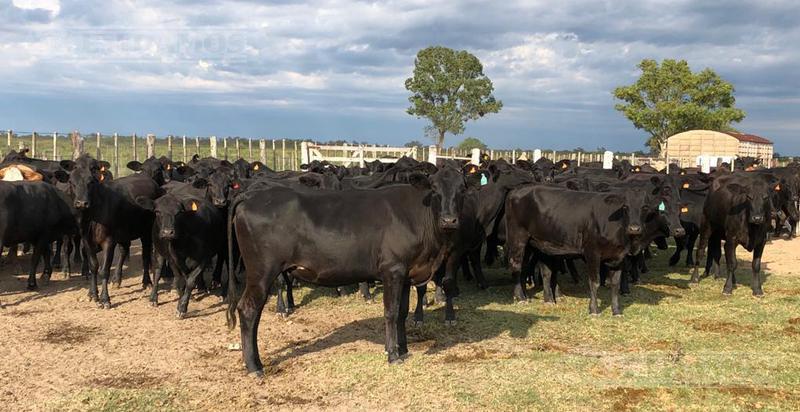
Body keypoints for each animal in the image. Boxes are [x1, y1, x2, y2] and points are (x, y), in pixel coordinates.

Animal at [227, 165, 476, 376]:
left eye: (462, 189)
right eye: (434, 189)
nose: (449, 220)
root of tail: (252, 196)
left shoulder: (407, 273)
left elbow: (402, 312)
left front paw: (404, 349)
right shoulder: (393, 270)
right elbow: (391, 312)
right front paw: (393, 354)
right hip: (261, 271)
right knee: (248, 310)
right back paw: (254, 366)